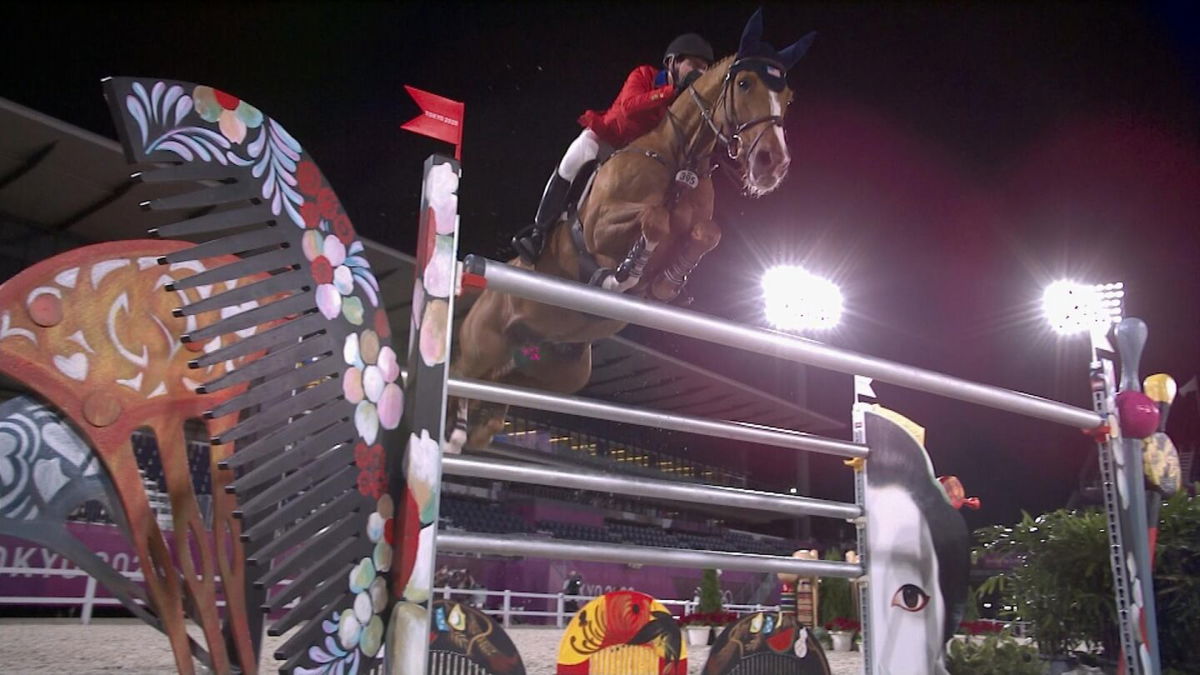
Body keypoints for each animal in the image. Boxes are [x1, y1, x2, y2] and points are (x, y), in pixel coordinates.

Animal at [451, 7, 816, 449]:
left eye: (789, 97)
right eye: (745, 83)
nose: (772, 164)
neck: (679, 159)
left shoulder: (697, 226)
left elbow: (705, 235)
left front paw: (666, 282)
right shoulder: (600, 227)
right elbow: (654, 219)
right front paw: (625, 273)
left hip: (545, 377)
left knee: (486, 416)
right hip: (479, 352)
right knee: (458, 387)